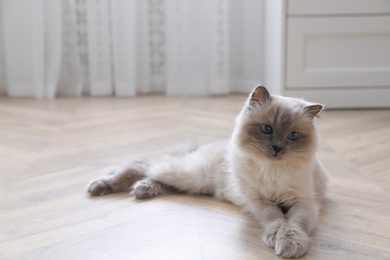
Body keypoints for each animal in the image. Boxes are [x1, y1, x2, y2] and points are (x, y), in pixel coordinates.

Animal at [87, 86, 328, 258]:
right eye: (266, 129)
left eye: (293, 136)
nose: (277, 148)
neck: (273, 170)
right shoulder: (258, 200)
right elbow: (276, 218)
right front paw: (276, 237)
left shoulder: (303, 203)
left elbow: (293, 225)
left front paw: (289, 244)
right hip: (191, 175)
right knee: (142, 165)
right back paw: (100, 186)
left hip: (195, 184)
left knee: (156, 176)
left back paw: (143, 189)